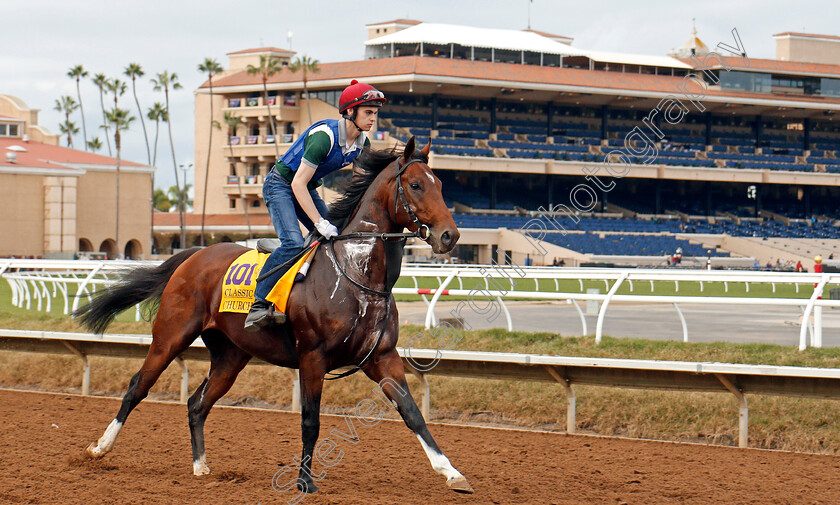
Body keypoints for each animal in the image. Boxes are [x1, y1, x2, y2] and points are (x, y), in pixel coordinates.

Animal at [72, 138, 472, 492]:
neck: (355, 273)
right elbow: (310, 420)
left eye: (441, 185)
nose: (449, 236)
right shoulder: (313, 357)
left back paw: (201, 466)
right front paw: (305, 482)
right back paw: (100, 448)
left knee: (198, 403)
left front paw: (452, 473)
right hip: (170, 336)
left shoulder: (382, 357)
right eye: (416, 184)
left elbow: (412, 412)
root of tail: (194, 254)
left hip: (231, 355)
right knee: (138, 387)